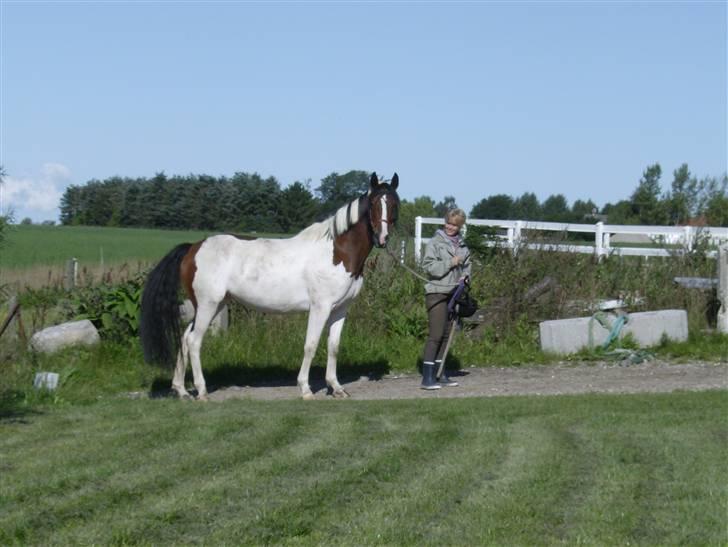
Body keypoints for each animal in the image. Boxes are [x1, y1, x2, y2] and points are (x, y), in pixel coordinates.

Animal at [139, 173, 400, 400]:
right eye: (374, 203)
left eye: (394, 203)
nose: (383, 238)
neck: (336, 251)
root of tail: (193, 247)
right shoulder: (320, 307)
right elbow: (311, 345)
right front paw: (305, 389)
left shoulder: (340, 309)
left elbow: (333, 346)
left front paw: (336, 388)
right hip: (207, 305)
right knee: (194, 341)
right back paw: (201, 392)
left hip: (212, 305)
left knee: (184, 339)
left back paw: (181, 390)